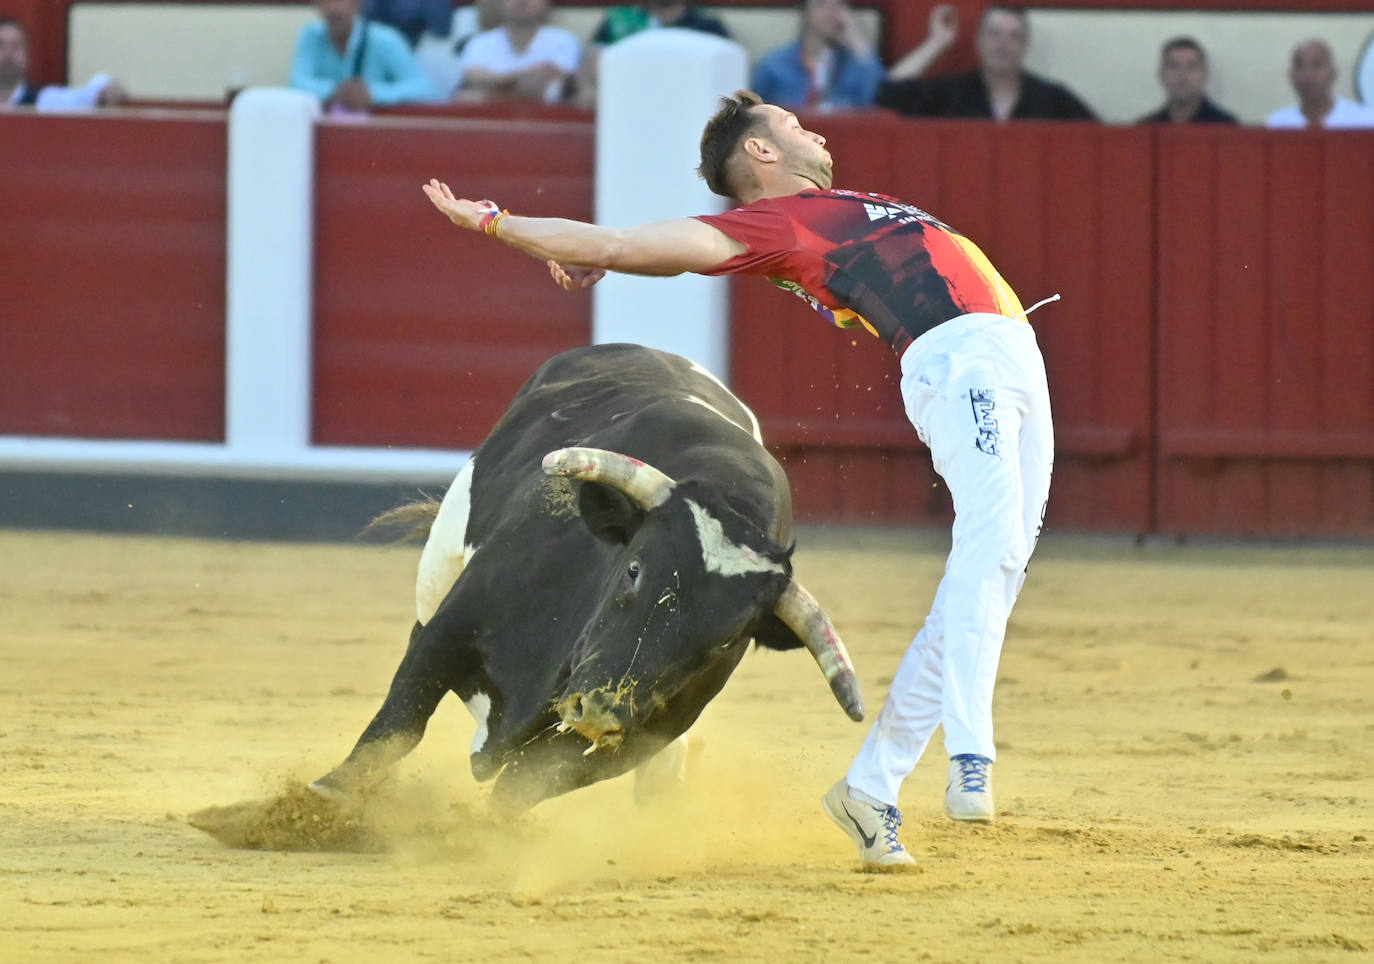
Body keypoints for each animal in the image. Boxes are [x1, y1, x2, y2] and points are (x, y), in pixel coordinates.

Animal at [316, 343, 862, 812]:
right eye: (635, 570)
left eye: (726, 638)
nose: (600, 709)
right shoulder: (453, 627)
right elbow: (399, 721)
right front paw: (328, 799)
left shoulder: (633, 740)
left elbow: (525, 784)